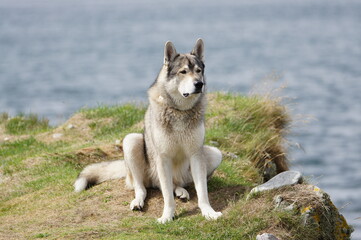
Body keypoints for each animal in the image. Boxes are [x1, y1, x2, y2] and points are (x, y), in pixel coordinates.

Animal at [74, 38, 222, 224]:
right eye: (183, 72)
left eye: (198, 71)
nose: (199, 84)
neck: (179, 111)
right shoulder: (162, 158)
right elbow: (167, 197)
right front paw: (167, 216)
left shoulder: (196, 154)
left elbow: (202, 192)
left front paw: (209, 212)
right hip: (132, 142)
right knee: (143, 188)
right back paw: (138, 201)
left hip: (216, 154)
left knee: (174, 184)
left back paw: (181, 191)